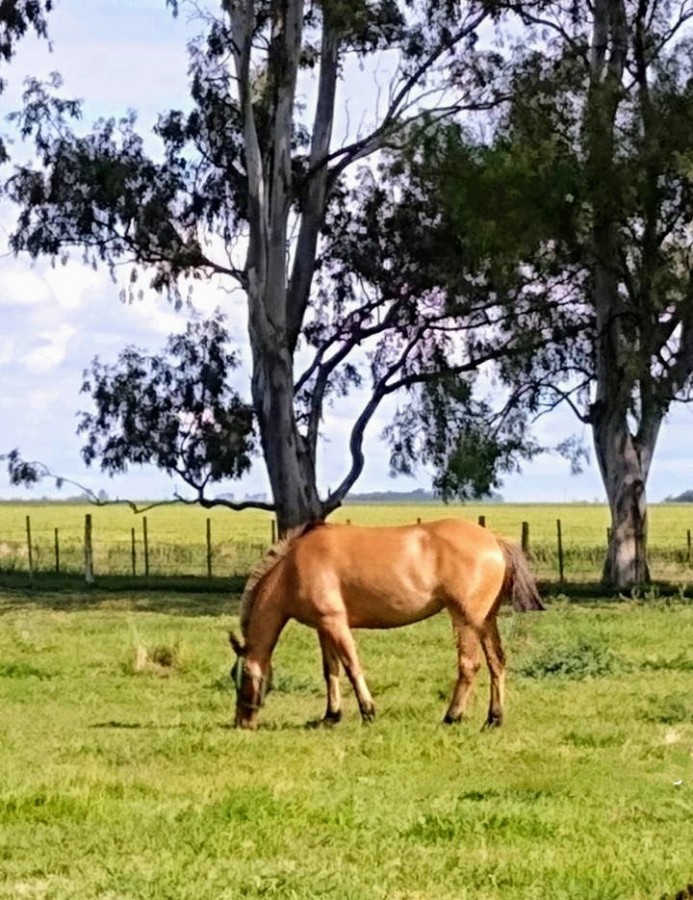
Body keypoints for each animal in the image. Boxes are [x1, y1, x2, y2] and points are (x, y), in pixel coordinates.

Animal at [230, 520, 544, 732]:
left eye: (242, 675)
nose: (242, 721)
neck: (292, 569)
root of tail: (494, 539)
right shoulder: (323, 626)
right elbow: (330, 671)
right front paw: (331, 715)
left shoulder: (335, 622)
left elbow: (351, 667)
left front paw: (368, 711)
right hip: (486, 621)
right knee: (497, 663)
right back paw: (493, 719)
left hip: (466, 620)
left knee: (470, 665)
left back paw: (451, 717)